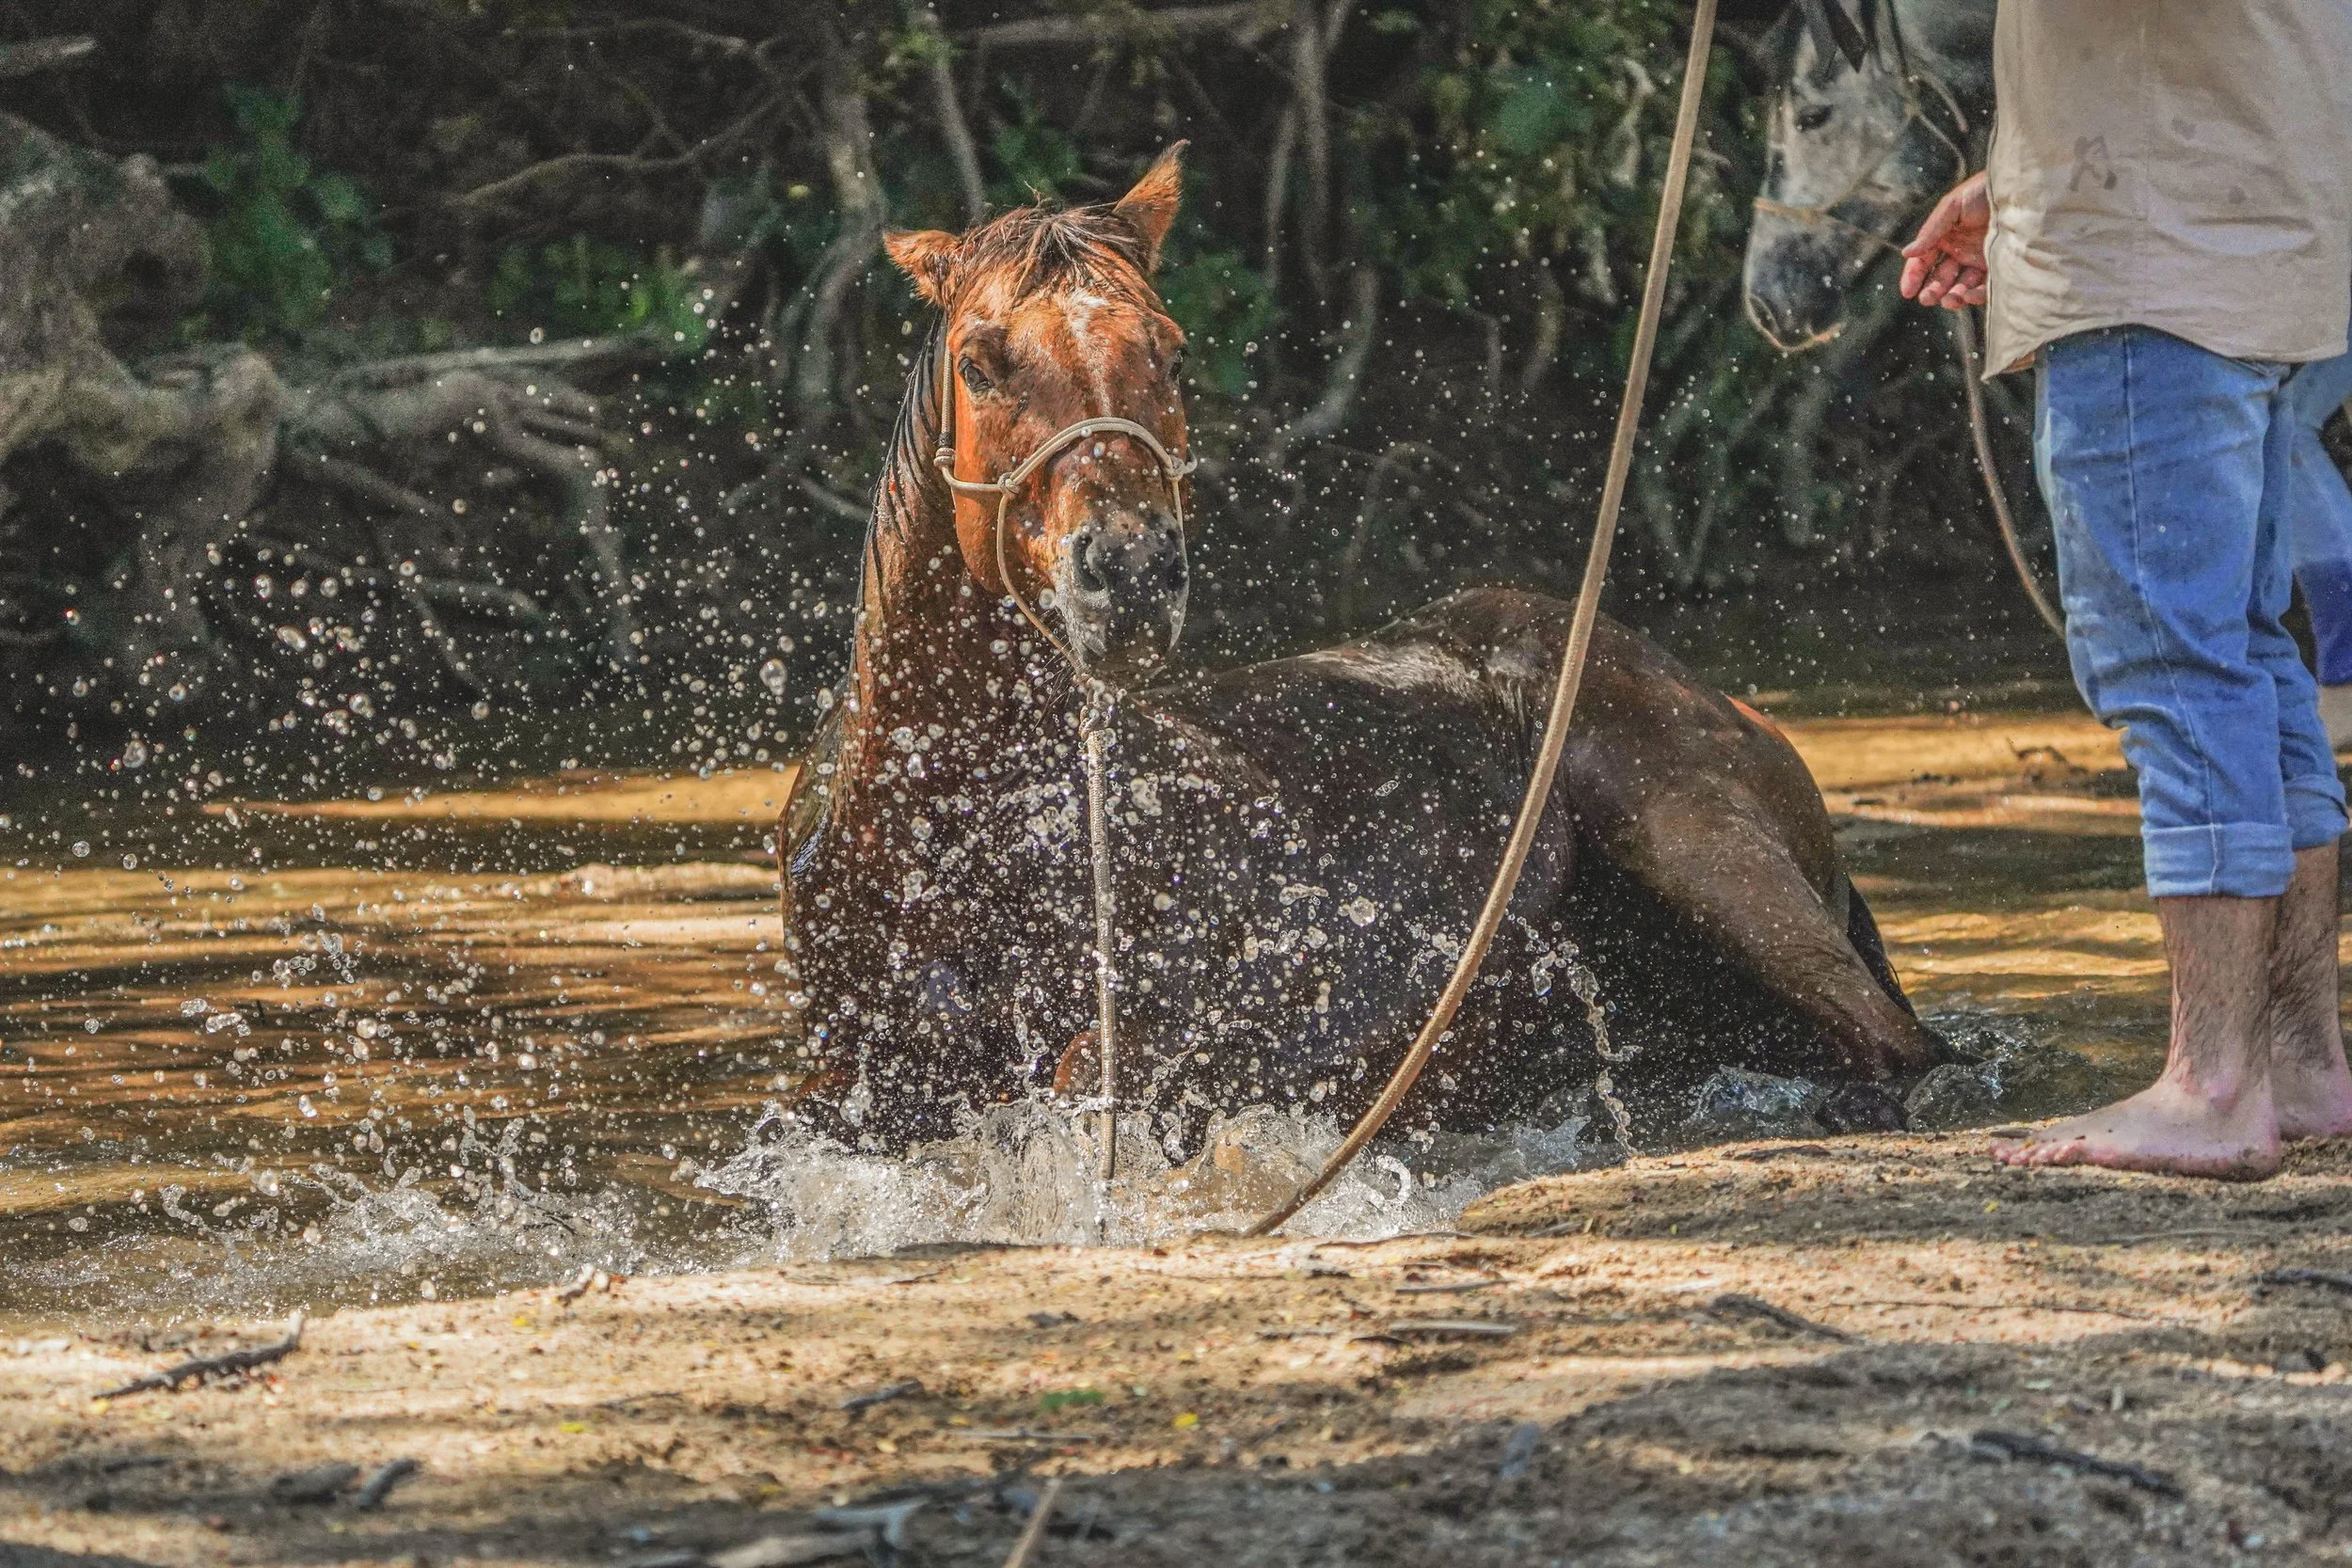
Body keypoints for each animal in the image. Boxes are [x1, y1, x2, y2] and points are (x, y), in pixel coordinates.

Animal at [776, 146, 1948, 1161]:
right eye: (980, 362)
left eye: (1172, 349)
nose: (1129, 570)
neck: (953, 828)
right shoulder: (851, 1083)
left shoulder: (1264, 1007)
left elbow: (1091, 1077)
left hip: (1702, 850)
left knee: (1899, 1044)